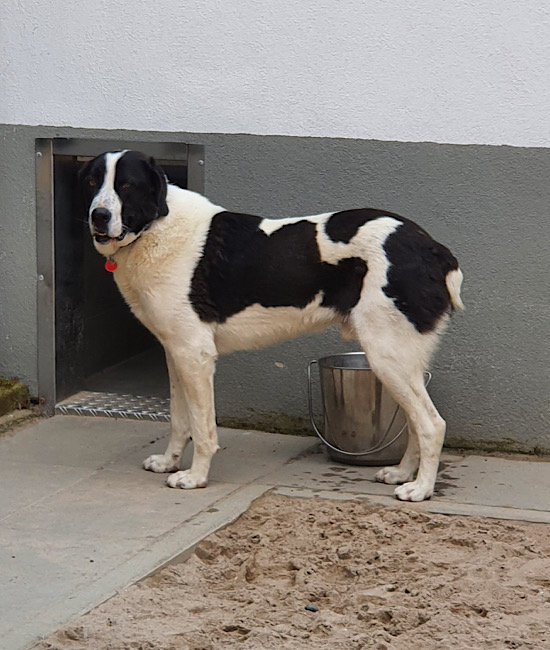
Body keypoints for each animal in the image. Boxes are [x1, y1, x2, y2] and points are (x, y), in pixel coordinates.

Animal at [79, 150, 463, 502]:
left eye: (127, 185)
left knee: (431, 423)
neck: (157, 227)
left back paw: (421, 489)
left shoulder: (195, 355)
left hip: (387, 355)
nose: (99, 215)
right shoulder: (176, 353)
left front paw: (195, 477)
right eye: (92, 183)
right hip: (403, 359)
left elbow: (202, 427)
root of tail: (434, 248)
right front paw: (169, 462)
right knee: (416, 421)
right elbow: (179, 418)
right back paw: (402, 473)